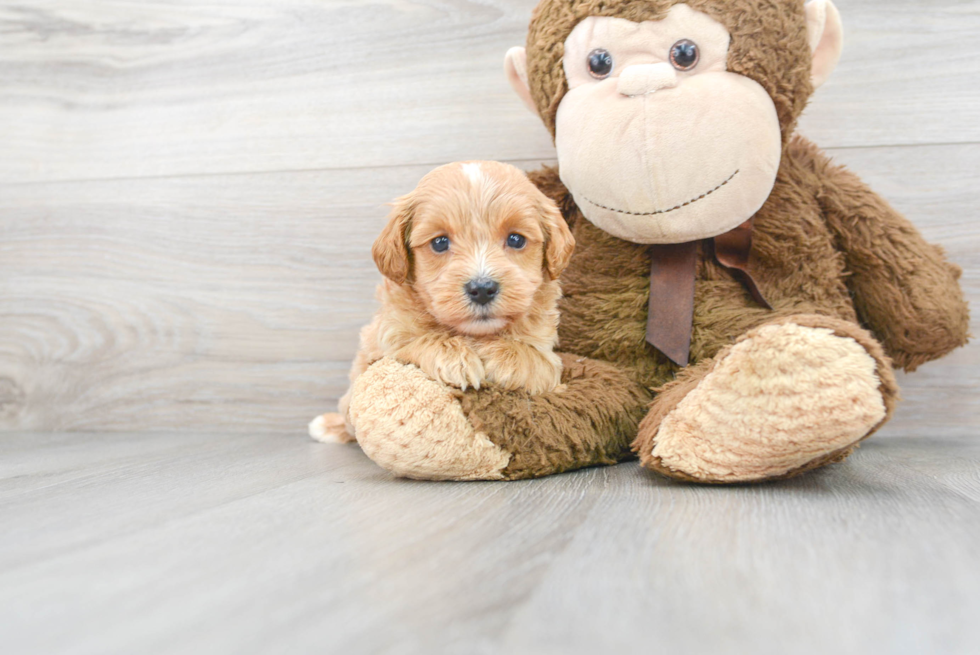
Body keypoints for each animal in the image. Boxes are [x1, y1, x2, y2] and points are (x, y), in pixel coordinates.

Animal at [310, 161, 580, 444]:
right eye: (440, 242)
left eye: (516, 239)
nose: (482, 289)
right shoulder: (385, 342)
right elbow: (411, 346)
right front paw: (454, 357)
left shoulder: (546, 348)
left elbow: (542, 363)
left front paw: (505, 356)